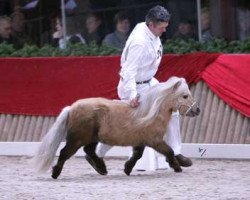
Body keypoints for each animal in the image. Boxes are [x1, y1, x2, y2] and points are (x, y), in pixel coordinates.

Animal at [32, 76, 199, 178]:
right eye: (185, 96)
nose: (197, 110)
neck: (149, 112)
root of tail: (71, 108)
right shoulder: (155, 141)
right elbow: (169, 151)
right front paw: (177, 167)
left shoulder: (141, 141)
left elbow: (137, 155)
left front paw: (127, 168)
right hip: (77, 139)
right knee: (64, 153)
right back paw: (55, 173)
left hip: (91, 138)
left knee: (89, 151)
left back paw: (102, 168)